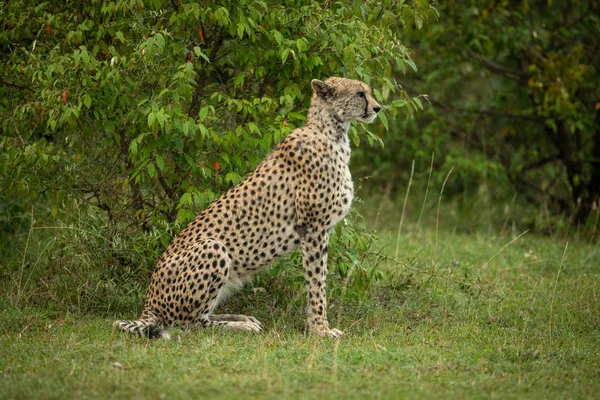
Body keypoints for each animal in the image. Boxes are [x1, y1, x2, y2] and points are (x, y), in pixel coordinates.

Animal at [113, 77, 380, 338]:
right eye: (359, 93)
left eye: (368, 91)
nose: (377, 108)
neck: (332, 133)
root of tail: (148, 302)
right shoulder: (313, 228)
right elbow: (317, 283)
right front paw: (320, 329)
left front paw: (318, 327)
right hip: (214, 247)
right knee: (189, 324)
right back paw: (241, 326)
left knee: (201, 316)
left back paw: (243, 318)